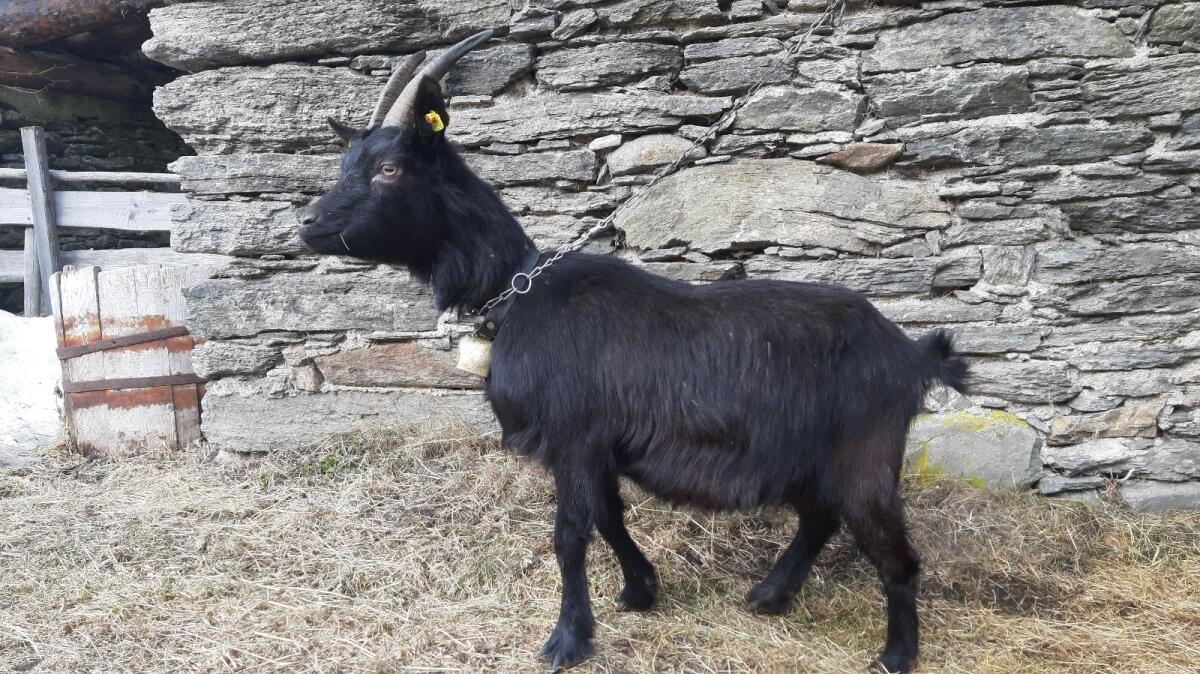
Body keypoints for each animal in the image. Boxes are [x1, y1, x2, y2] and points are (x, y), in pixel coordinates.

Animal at [298, 30, 968, 674]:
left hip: (865, 454)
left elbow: (571, 533)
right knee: (819, 517)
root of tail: (910, 354)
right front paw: (641, 590)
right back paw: (770, 595)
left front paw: (568, 640)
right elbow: (609, 516)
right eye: (347, 161)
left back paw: (896, 654)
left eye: (389, 168)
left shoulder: (574, 435)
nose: (306, 223)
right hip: (806, 454)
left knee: (894, 554)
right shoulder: (599, 445)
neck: (517, 293)